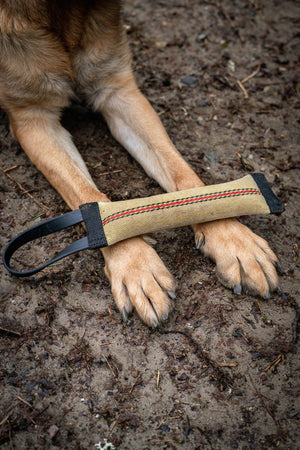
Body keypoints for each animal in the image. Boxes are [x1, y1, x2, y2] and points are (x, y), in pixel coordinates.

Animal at [0, 0, 280, 326]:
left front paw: (231, 235)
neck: (60, 12)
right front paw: (135, 264)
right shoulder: (32, 119)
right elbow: (88, 195)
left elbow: (183, 174)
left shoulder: (120, 91)